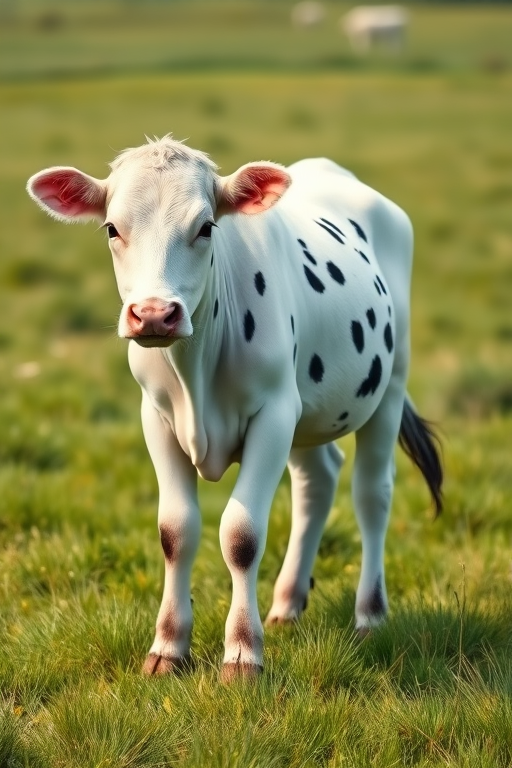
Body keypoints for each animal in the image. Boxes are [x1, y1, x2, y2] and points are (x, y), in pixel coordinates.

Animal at [27, 136, 442, 681]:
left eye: (206, 226)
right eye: (112, 228)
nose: (154, 314)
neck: (195, 373)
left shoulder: (273, 414)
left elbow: (241, 535)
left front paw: (243, 654)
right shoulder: (156, 417)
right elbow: (176, 531)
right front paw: (168, 647)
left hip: (388, 387)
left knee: (372, 493)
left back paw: (370, 615)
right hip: (307, 409)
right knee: (318, 482)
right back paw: (287, 604)